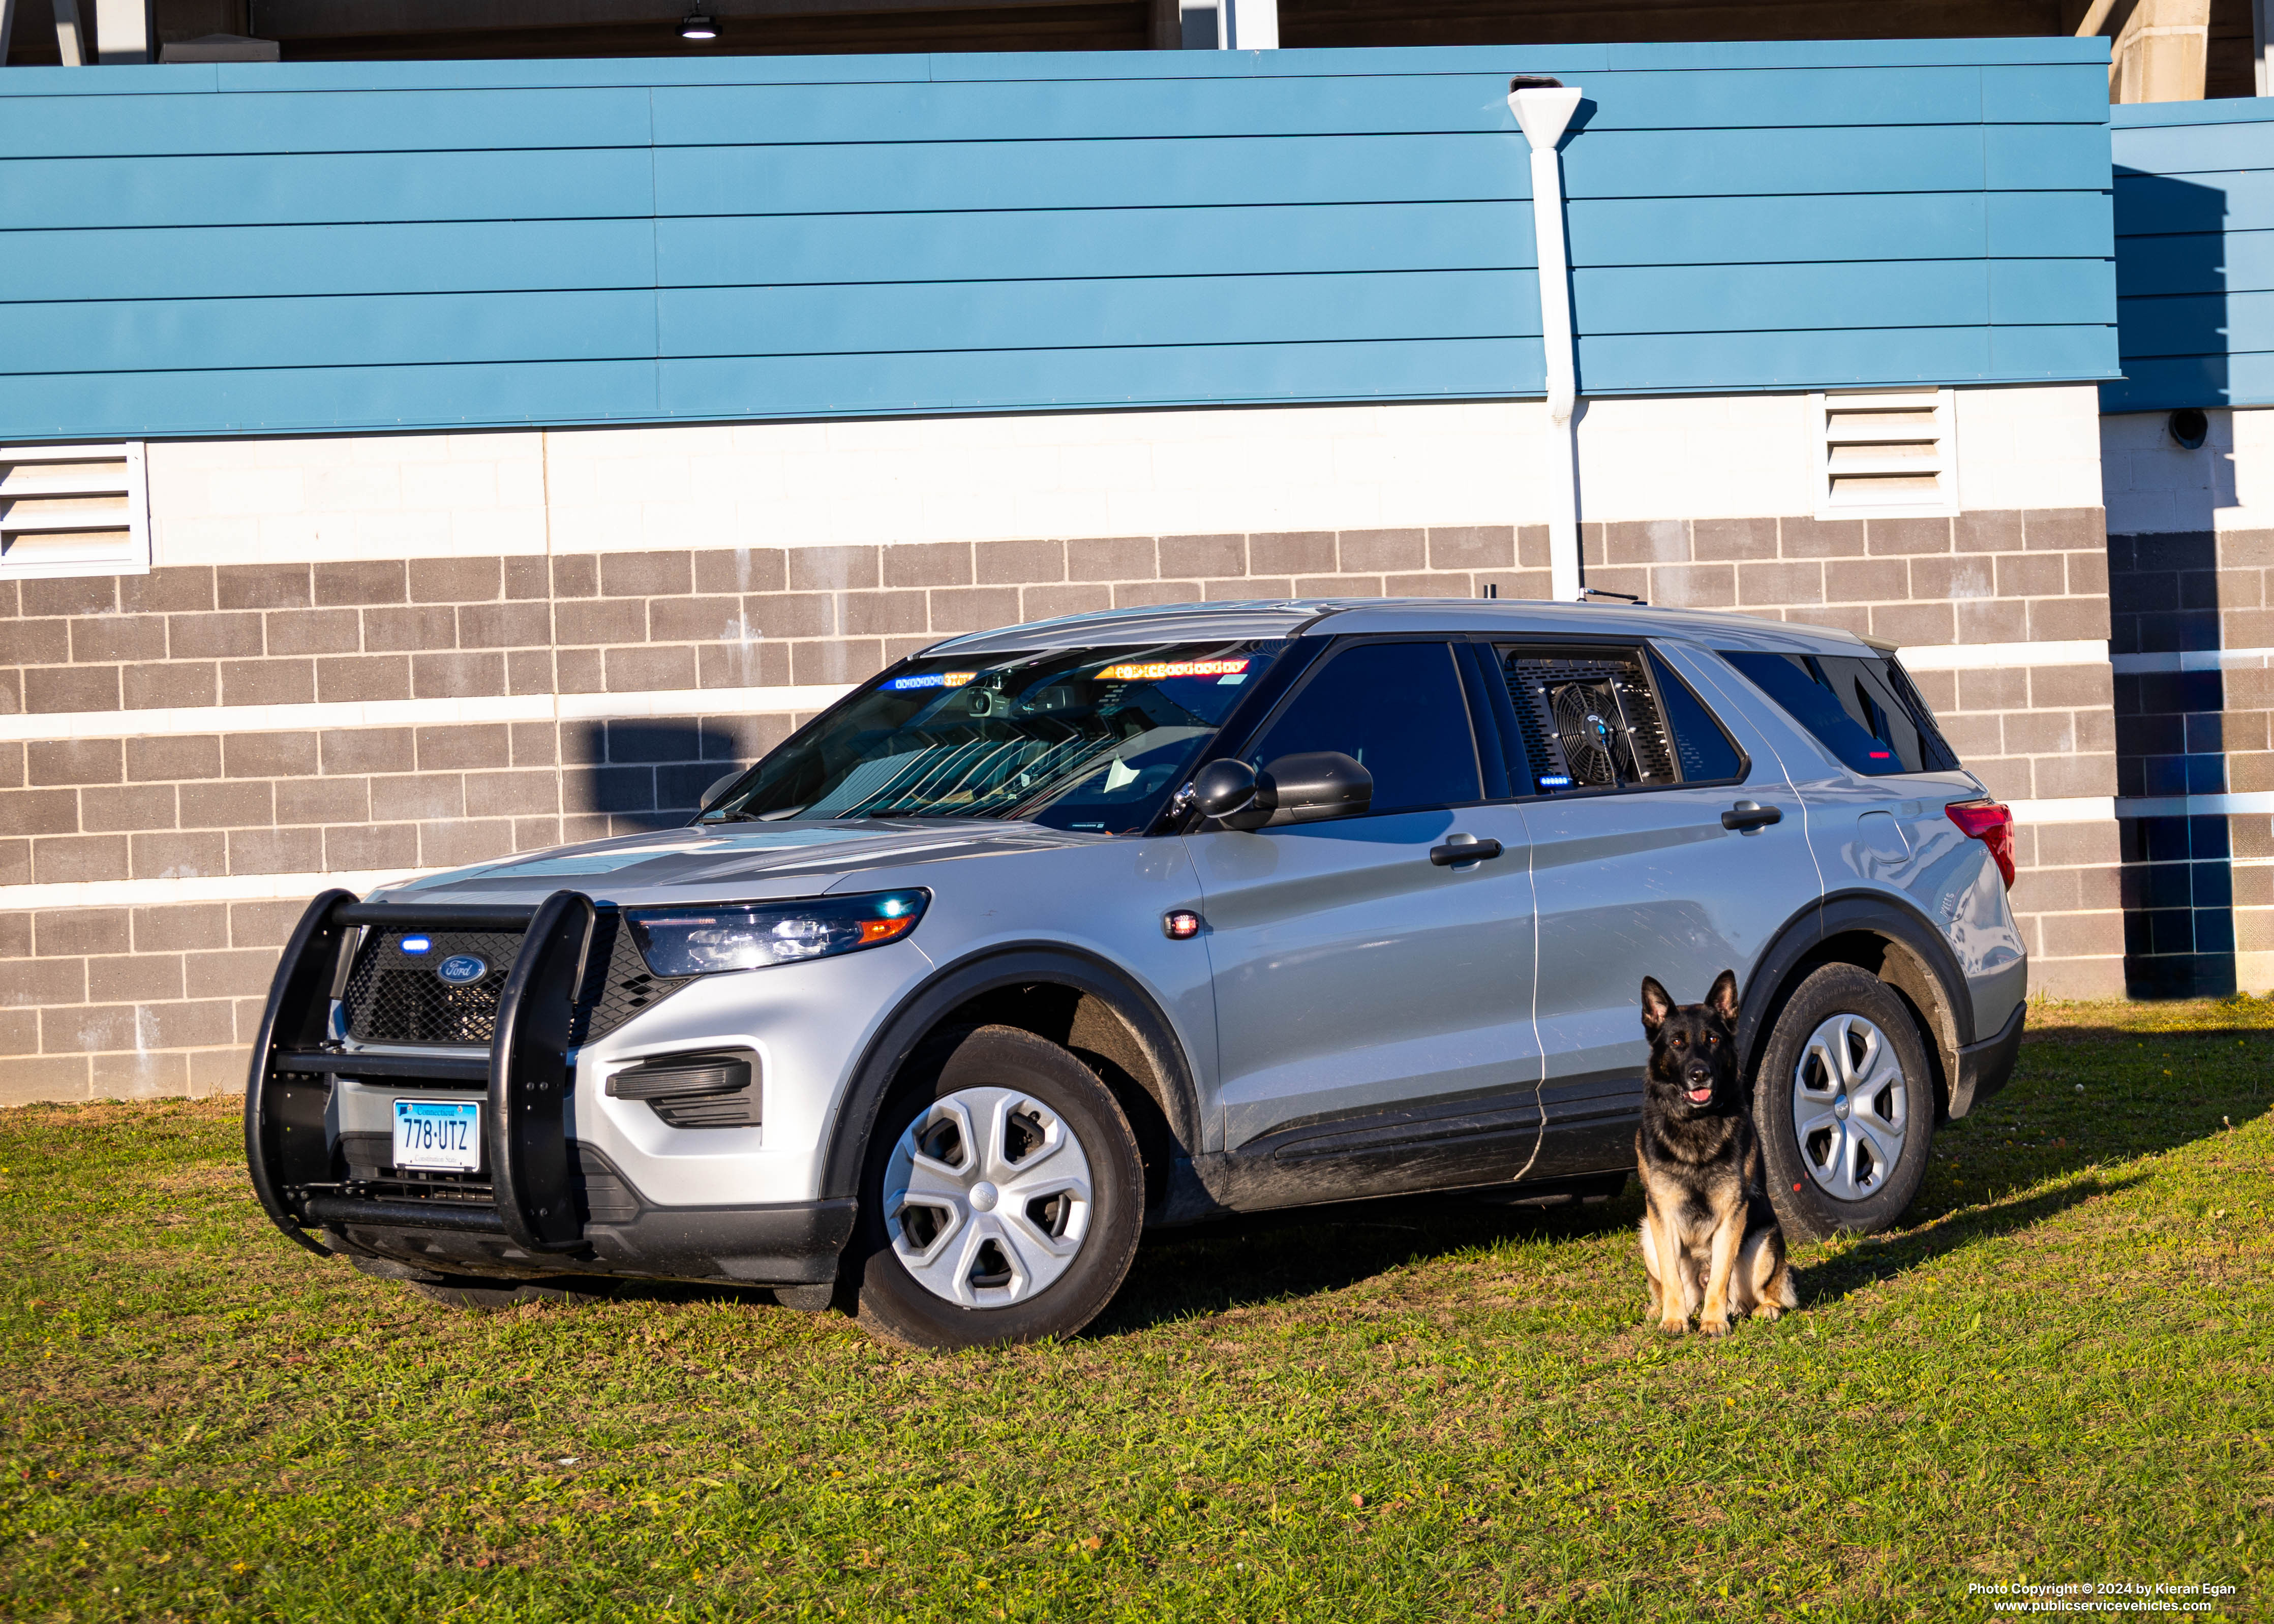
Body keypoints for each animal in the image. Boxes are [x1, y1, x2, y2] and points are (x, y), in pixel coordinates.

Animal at [1637, 973, 1792, 1328]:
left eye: (1713, 1040)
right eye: (1677, 1042)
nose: (1700, 1075)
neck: (1697, 1124)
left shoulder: (1733, 1213)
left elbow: (1721, 1275)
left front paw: (1713, 1322)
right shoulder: (1661, 1213)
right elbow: (1671, 1277)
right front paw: (1674, 1320)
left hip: (1763, 1240)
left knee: (1767, 1292)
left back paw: (1765, 1308)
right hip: (1647, 1234)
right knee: (1673, 1286)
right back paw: (1661, 1311)